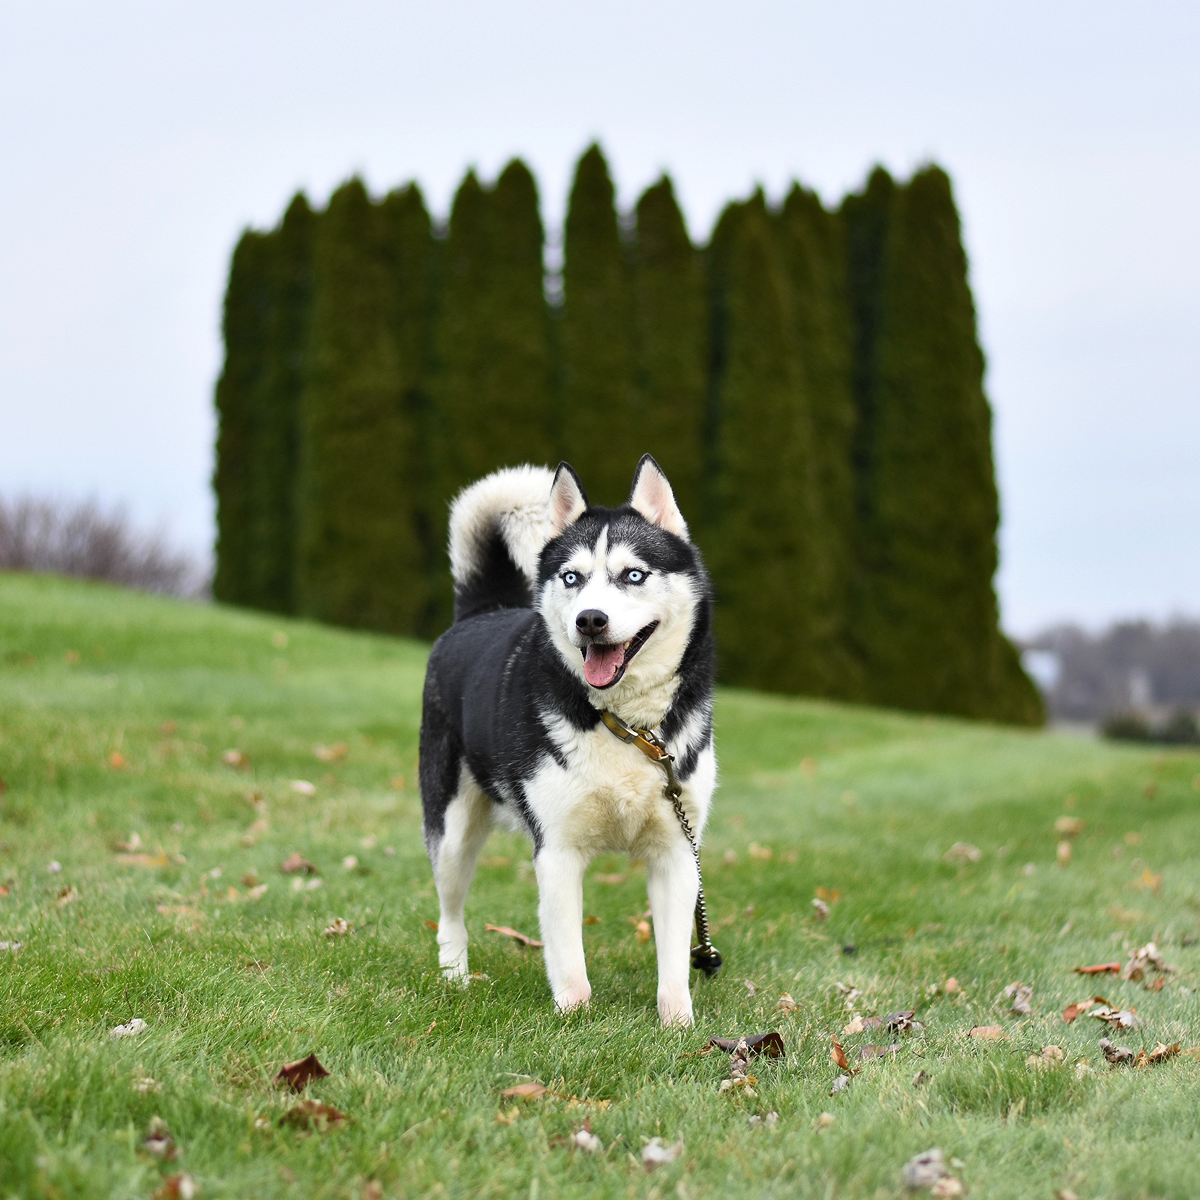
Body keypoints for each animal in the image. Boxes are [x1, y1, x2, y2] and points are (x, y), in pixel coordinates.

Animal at [417, 453, 710, 1027]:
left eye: (633, 575)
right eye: (572, 577)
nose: (589, 620)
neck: (627, 726)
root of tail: (482, 611)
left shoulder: (677, 850)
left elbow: (673, 961)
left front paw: (679, 1027)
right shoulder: (556, 850)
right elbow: (570, 957)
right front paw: (573, 1020)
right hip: (452, 830)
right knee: (451, 910)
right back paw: (455, 976)